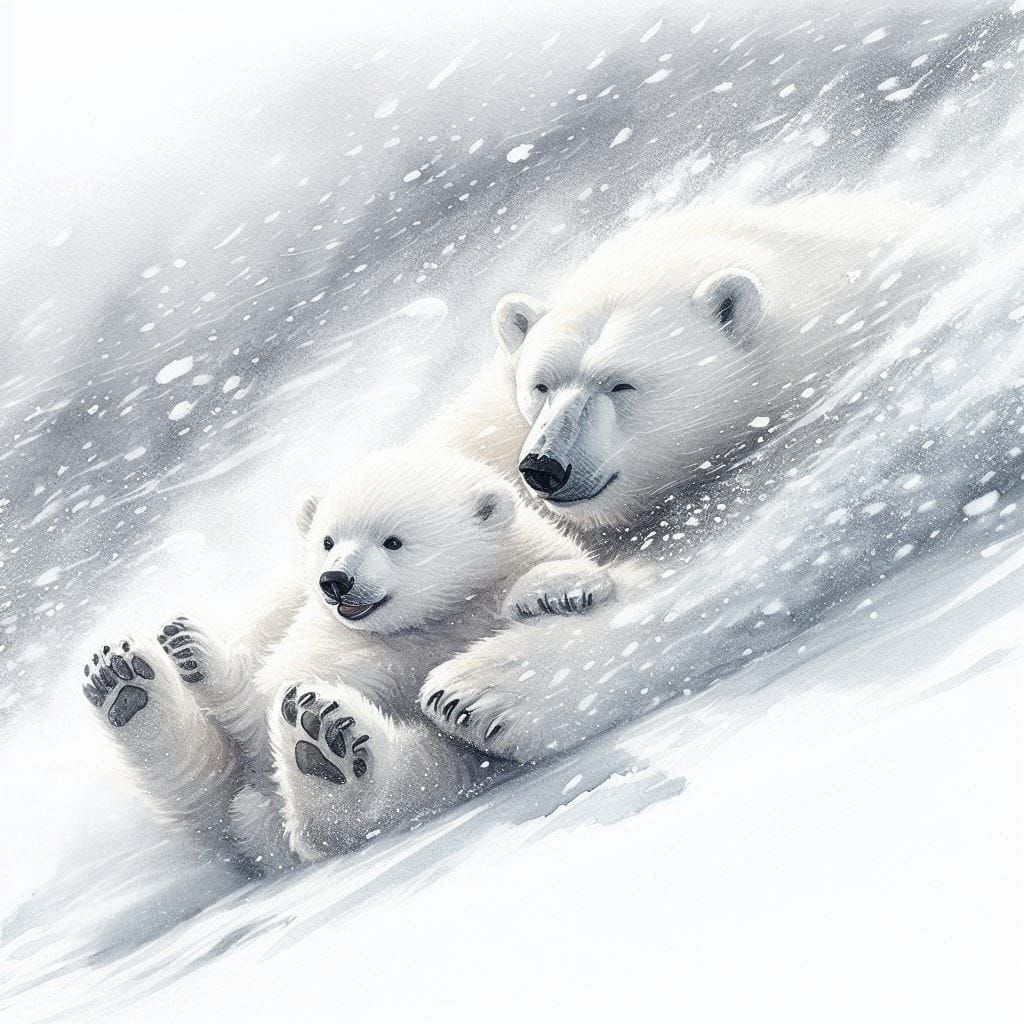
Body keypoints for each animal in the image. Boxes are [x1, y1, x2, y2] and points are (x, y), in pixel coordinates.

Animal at [81, 445, 613, 867]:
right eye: (328, 540)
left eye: (393, 541)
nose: (335, 580)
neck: (428, 622)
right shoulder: (337, 641)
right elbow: (260, 717)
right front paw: (192, 651)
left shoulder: (501, 573)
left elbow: (545, 574)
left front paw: (558, 591)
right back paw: (128, 683)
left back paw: (323, 749)